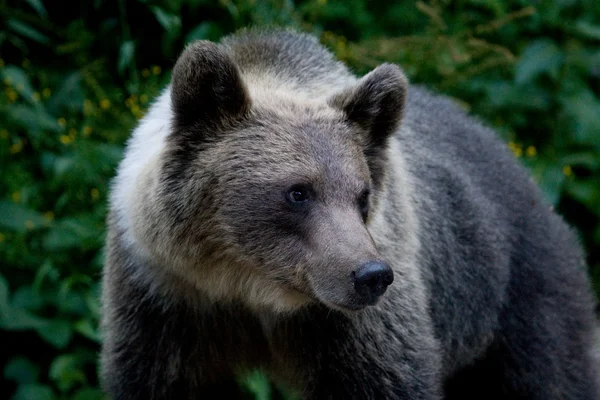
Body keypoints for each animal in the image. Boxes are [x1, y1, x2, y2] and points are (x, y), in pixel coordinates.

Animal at [101, 28, 596, 400]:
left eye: (362, 195)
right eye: (298, 192)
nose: (371, 274)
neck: (249, 289)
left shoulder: (355, 325)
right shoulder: (165, 300)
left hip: (518, 292)